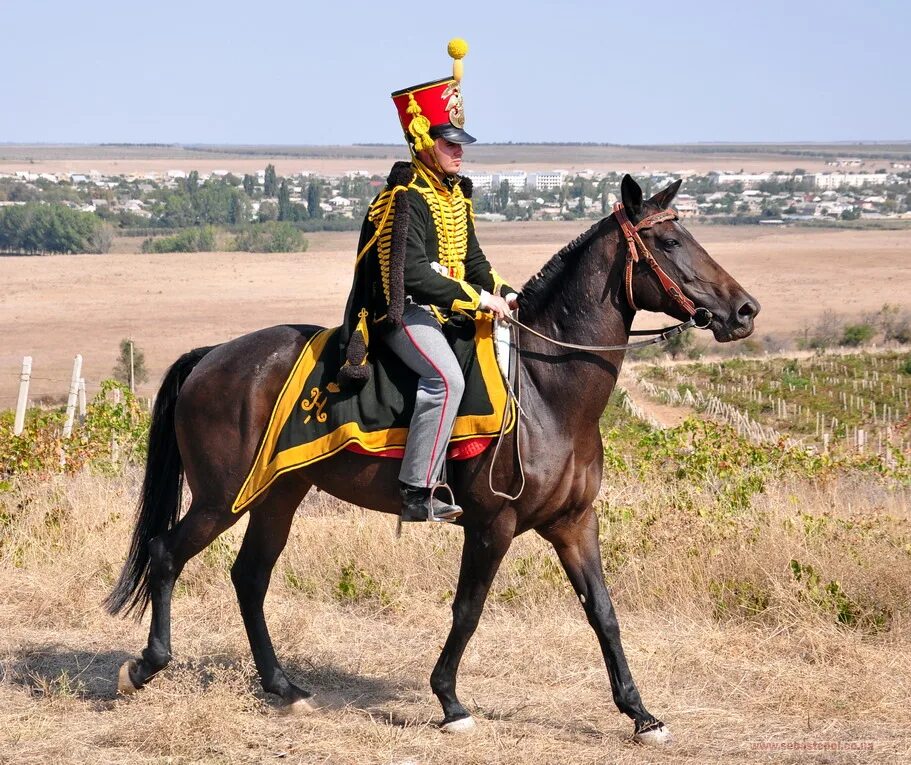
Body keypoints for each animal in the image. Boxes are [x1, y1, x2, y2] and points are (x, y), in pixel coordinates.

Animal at [105, 173, 764, 740]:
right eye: (671, 241)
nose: (744, 311)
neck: (547, 390)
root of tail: (212, 356)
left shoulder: (575, 524)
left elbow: (603, 611)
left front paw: (641, 714)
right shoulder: (493, 525)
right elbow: (468, 610)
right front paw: (449, 702)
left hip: (277, 495)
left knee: (249, 576)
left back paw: (283, 687)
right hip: (222, 499)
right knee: (166, 554)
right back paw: (145, 666)